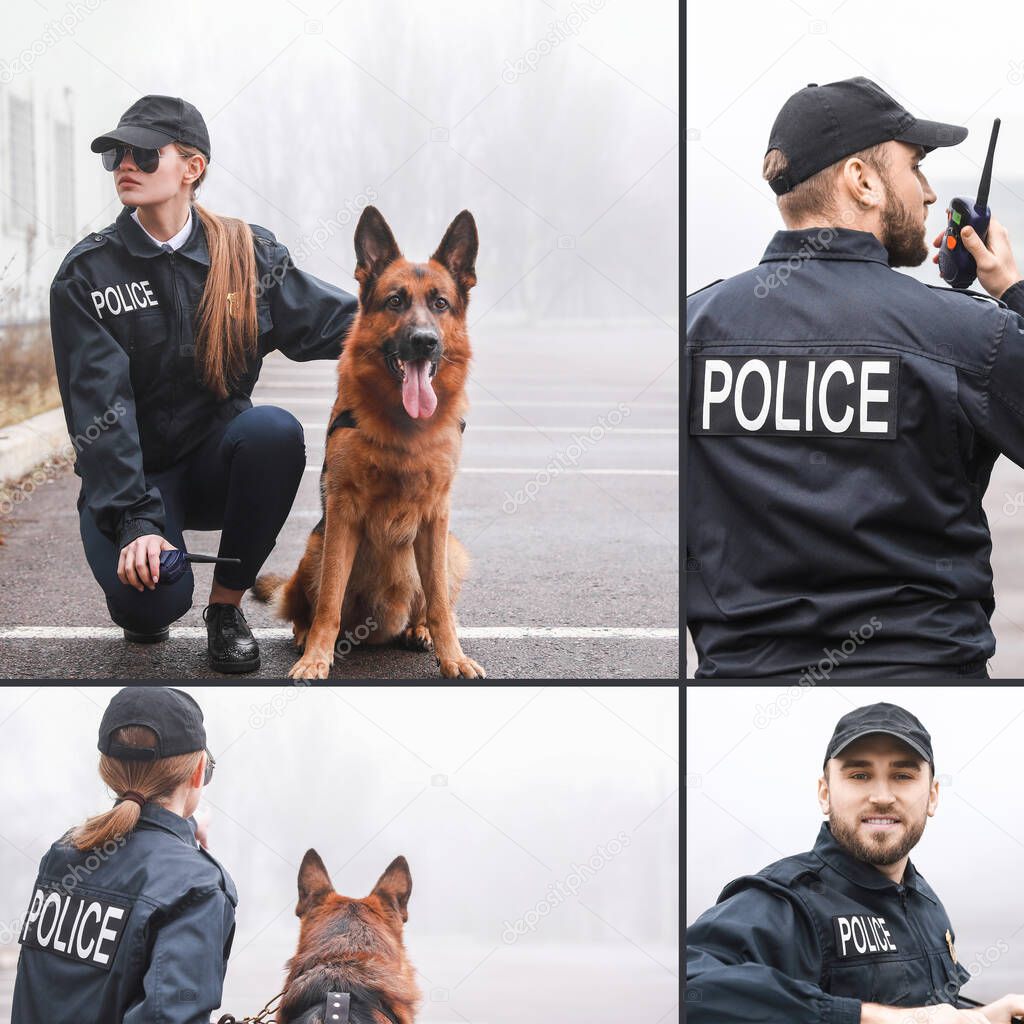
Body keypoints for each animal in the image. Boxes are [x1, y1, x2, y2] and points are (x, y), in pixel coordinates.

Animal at [250, 205, 483, 679]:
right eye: (395, 301)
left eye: (440, 304)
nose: (424, 342)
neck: (404, 430)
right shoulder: (344, 512)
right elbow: (329, 602)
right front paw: (316, 658)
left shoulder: (436, 519)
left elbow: (440, 605)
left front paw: (451, 656)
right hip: (315, 549)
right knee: (308, 605)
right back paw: (305, 636)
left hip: (452, 550)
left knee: (430, 601)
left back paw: (418, 630)